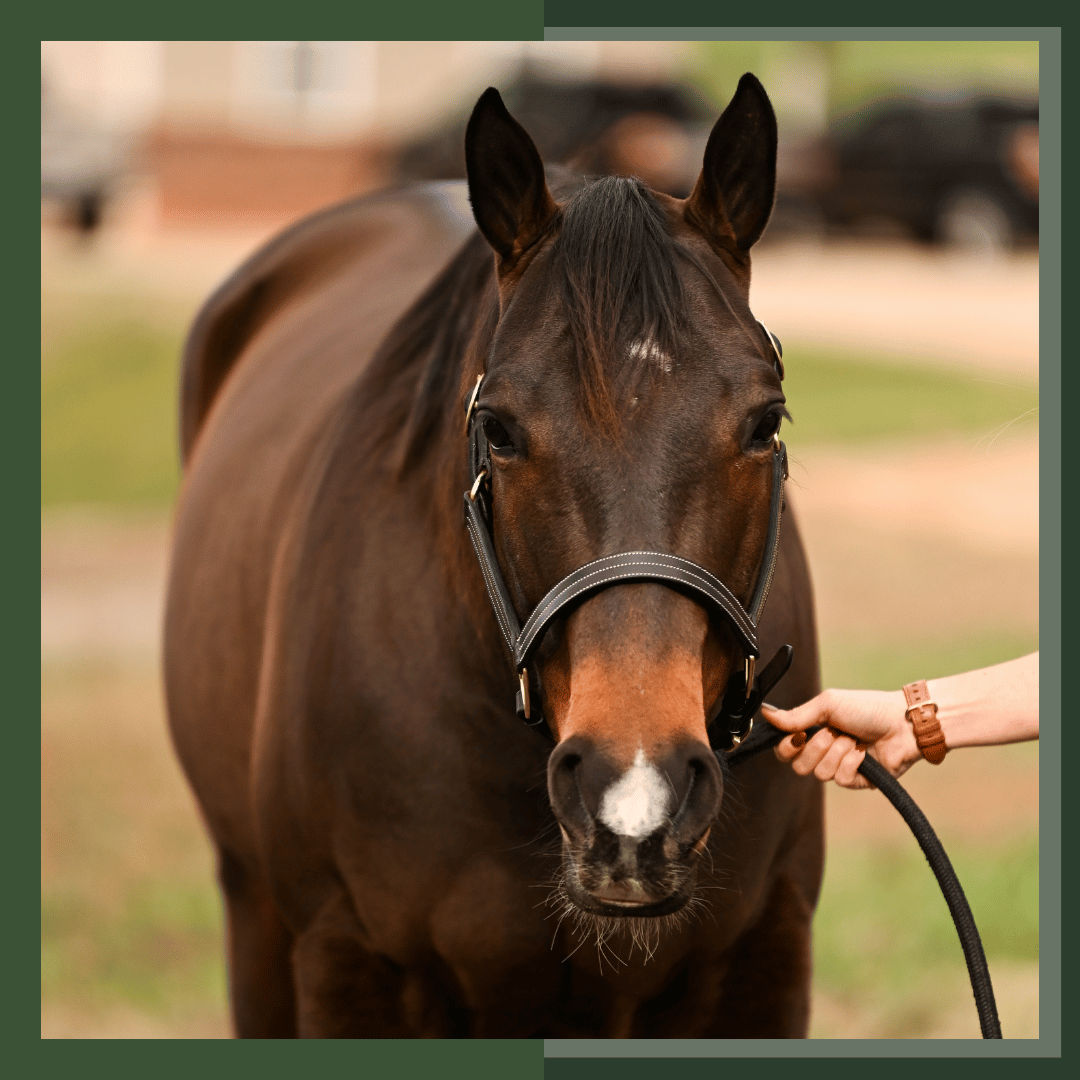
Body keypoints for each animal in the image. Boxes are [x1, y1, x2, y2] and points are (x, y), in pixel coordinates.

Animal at [166, 76, 825, 1036]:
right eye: (500, 430)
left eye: (765, 422)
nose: (636, 797)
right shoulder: (346, 960)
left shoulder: (764, 960)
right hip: (253, 912)